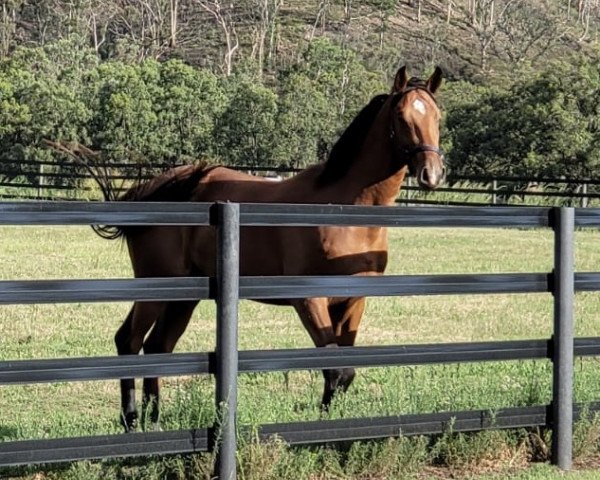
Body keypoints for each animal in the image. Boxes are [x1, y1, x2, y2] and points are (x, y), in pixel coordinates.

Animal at [98, 66, 446, 432]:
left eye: (437, 116)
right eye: (401, 116)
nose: (432, 173)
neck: (343, 210)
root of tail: (154, 190)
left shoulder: (353, 301)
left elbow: (342, 373)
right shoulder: (309, 301)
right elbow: (335, 369)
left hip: (184, 297)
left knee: (157, 346)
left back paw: (153, 421)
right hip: (155, 289)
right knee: (129, 341)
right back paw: (131, 420)